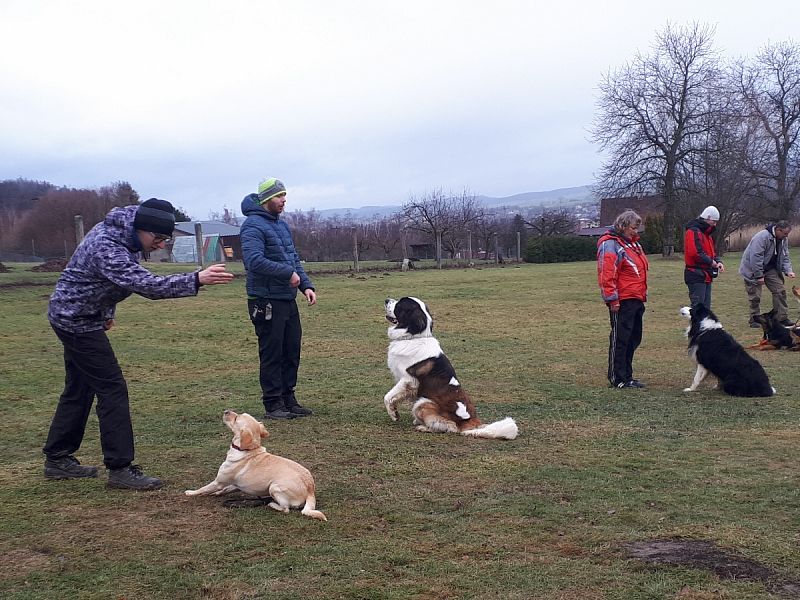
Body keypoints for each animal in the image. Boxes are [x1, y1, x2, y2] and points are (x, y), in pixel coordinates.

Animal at [186, 408, 326, 520]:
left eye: (236, 418)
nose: (226, 410)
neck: (247, 449)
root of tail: (310, 490)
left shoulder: (218, 482)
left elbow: (203, 488)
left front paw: (190, 492)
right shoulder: (234, 484)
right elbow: (225, 489)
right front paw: (217, 494)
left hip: (274, 487)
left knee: (285, 509)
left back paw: (272, 504)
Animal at [382, 296, 520, 440]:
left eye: (399, 305)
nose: (386, 299)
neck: (413, 337)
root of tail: (472, 422)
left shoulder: (408, 380)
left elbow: (387, 396)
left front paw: (393, 414)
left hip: (423, 402)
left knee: (451, 427)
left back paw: (424, 427)